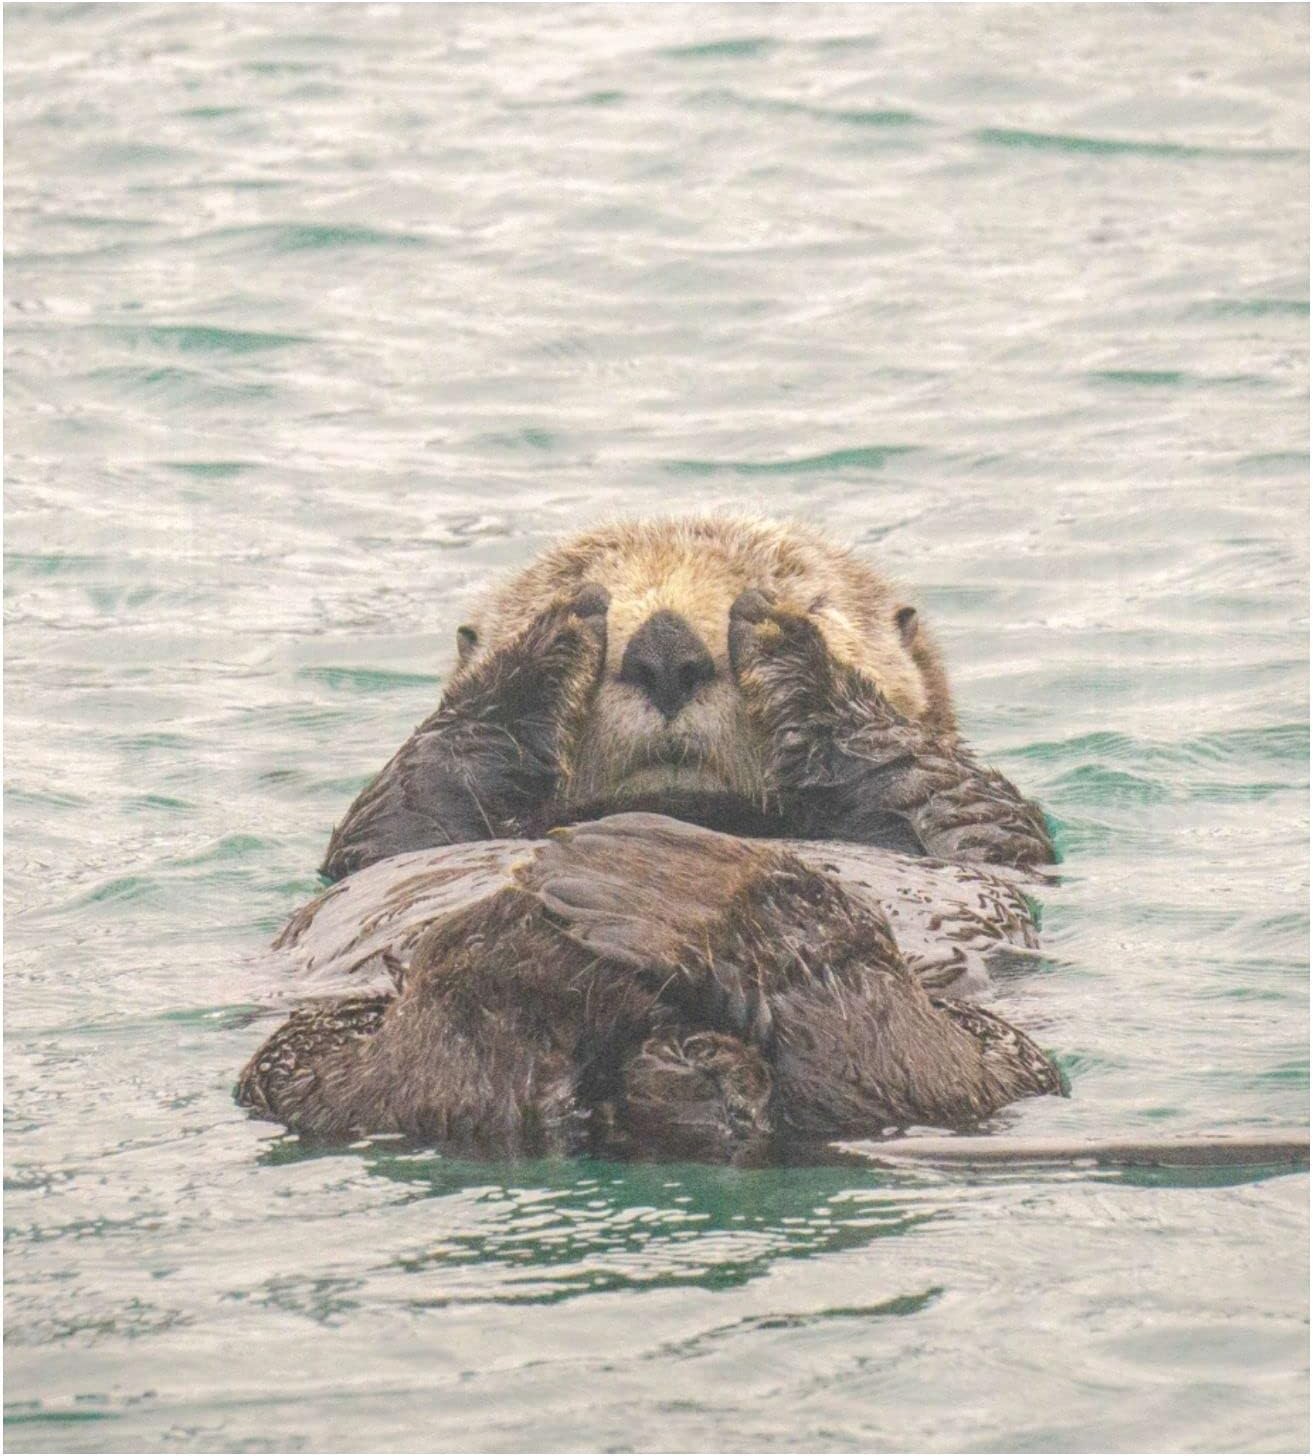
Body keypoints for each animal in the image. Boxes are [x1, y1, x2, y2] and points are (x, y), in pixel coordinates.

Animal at [238, 516, 1063, 1162]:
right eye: (579, 580)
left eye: (793, 588)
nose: (665, 648)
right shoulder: (386, 839)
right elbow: (407, 799)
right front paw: (551, 638)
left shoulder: (984, 835)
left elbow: (948, 791)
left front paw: (785, 642)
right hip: (301, 1058)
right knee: (423, 1078)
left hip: (1001, 1058)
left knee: (907, 1064)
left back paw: (676, 890)